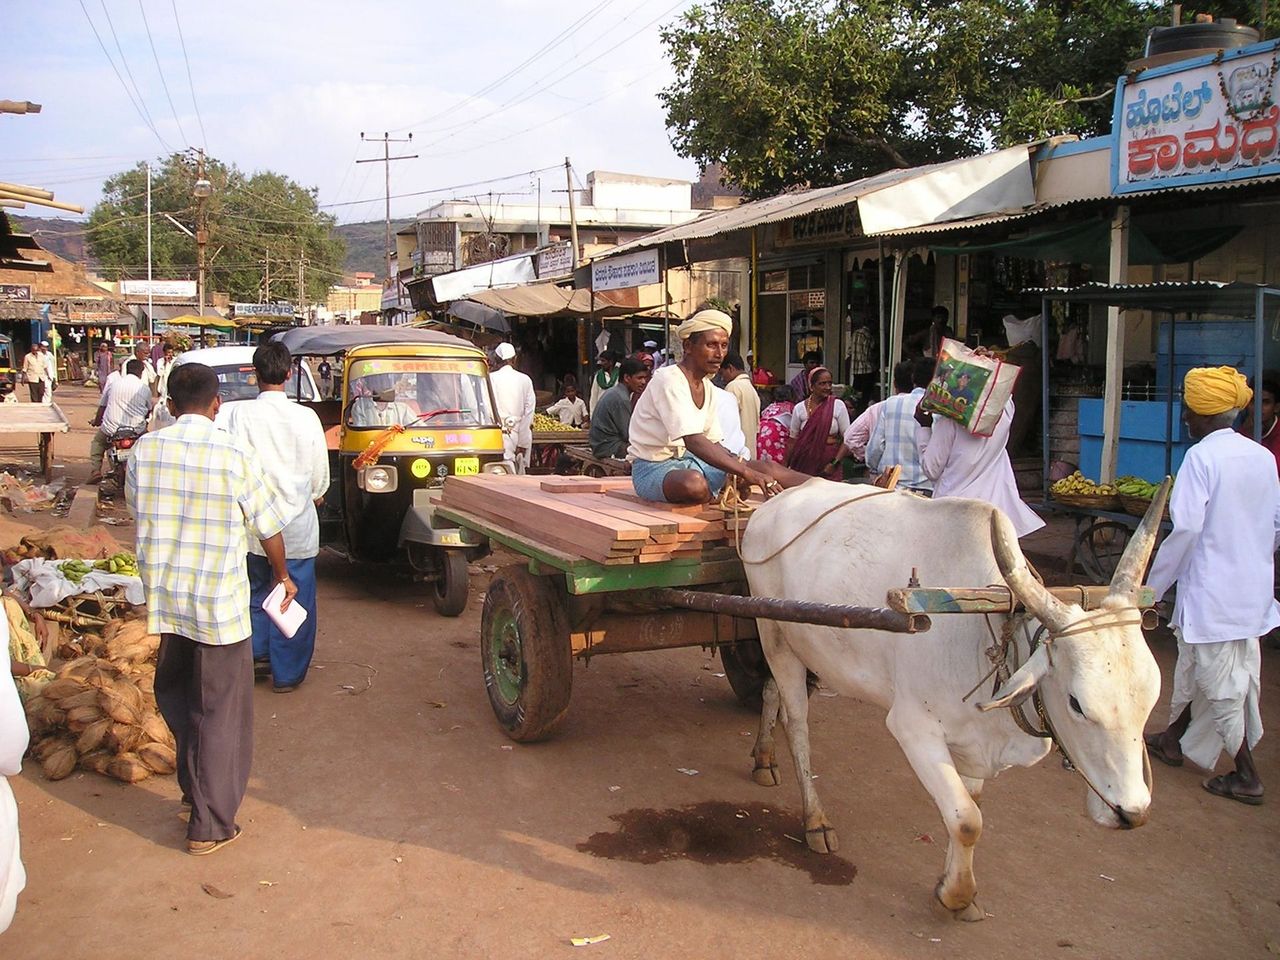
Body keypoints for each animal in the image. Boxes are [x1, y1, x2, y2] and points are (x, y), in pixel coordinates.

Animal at [742, 483, 1172, 921]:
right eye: (1077, 704)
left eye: (1151, 700)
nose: (1132, 812)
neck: (983, 633)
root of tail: (772, 503)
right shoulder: (913, 729)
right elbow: (967, 820)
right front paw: (957, 895)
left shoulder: (975, 740)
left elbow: (967, 808)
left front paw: (955, 886)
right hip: (773, 633)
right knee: (797, 725)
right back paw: (815, 820)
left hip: (795, 645)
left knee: (771, 690)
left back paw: (764, 758)